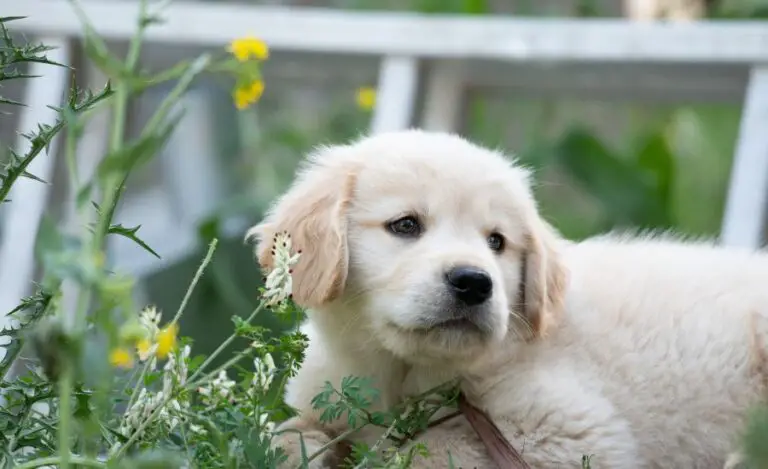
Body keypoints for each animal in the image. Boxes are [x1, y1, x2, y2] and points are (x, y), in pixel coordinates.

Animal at [249, 129, 764, 468]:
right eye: (406, 225)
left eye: (496, 241)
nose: (474, 282)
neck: (402, 374)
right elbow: (288, 433)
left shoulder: (573, 432)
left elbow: (431, 451)